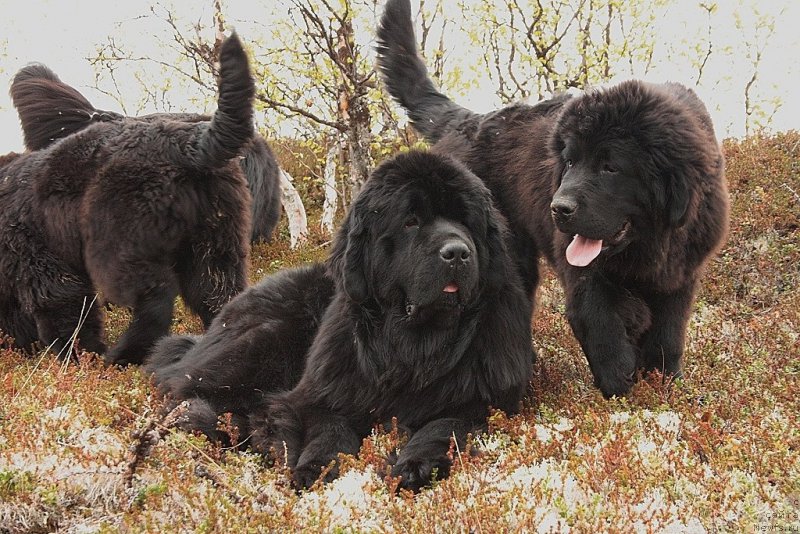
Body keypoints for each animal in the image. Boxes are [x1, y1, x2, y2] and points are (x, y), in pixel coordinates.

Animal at [147, 151, 536, 494]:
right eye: (411, 221)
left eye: (466, 221)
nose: (457, 252)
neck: (413, 346)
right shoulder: (326, 393)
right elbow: (328, 430)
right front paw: (315, 468)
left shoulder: (482, 403)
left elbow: (443, 427)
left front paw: (414, 465)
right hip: (267, 339)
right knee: (192, 392)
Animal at [378, 0, 728, 400]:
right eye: (570, 161)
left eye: (610, 167)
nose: (558, 208)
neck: (648, 245)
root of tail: (466, 121)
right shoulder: (587, 280)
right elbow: (604, 333)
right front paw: (620, 392)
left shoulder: (680, 274)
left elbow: (667, 336)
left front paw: (664, 384)